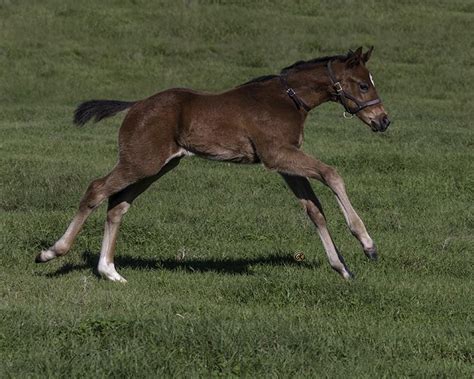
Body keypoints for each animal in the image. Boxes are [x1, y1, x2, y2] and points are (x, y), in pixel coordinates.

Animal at [36, 46, 388, 282]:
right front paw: (367, 244)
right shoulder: (277, 155)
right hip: (141, 162)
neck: (288, 99)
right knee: (96, 190)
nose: (383, 120)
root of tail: (135, 106)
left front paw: (342, 268)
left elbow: (314, 210)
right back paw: (52, 252)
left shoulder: (286, 164)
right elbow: (332, 173)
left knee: (117, 205)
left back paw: (109, 271)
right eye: (363, 85)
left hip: (156, 166)